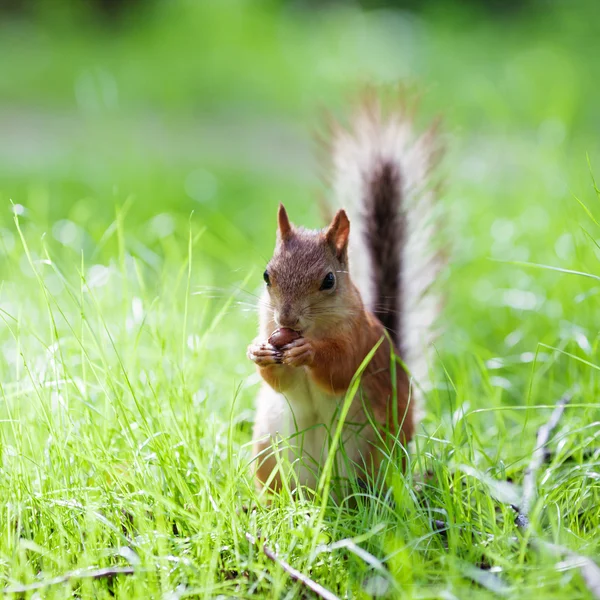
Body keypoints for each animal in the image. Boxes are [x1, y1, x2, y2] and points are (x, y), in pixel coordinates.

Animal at [246, 96, 442, 494]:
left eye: (328, 281)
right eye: (267, 275)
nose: (286, 319)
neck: (314, 329)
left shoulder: (361, 339)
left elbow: (341, 368)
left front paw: (309, 353)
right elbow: (278, 381)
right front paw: (258, 351)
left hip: (372, 452)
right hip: (268, 449)